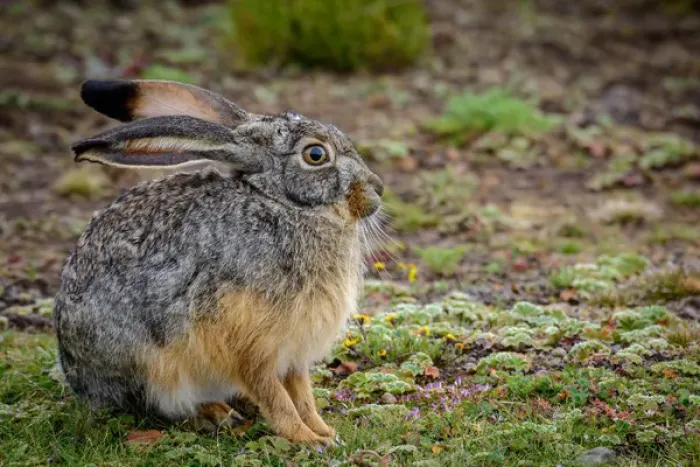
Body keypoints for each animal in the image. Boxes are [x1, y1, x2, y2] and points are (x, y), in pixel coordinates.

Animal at [54, 79, 384, 444]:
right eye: (315, 155)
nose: (378, 189)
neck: (284, 205)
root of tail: (78, 377)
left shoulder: (293, 352)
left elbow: (302, 394)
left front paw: (325, 431)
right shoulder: (248, 344)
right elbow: (275, 396)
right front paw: (307, 439)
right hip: (145, 362)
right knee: (154, 403)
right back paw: (214, 414)